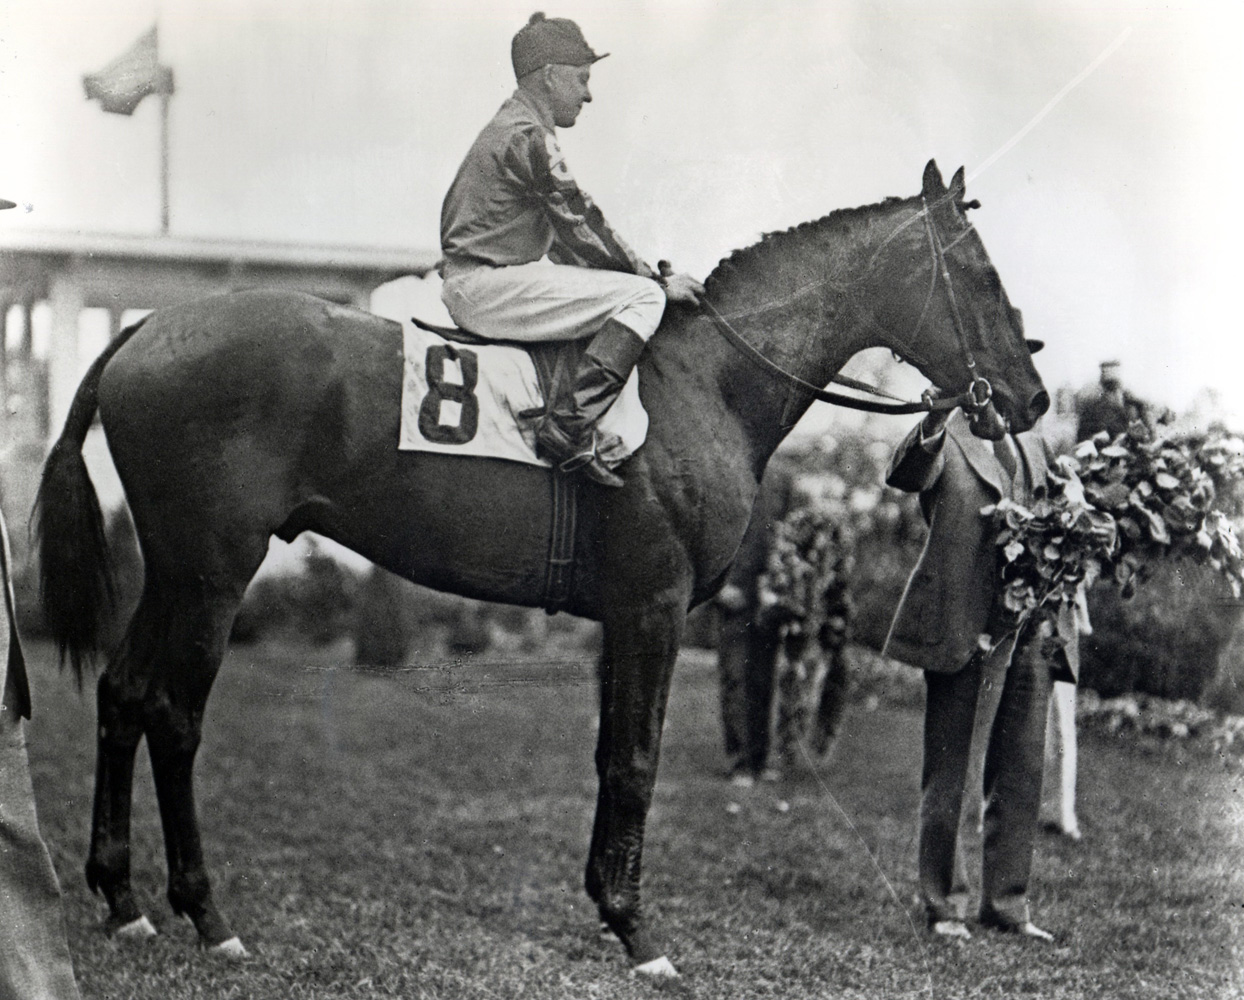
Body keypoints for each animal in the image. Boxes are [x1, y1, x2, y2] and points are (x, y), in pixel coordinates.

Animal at [36, 161, 1039, 975]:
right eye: (984, 274)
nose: (1032, 397)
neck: (702, 383)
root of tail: (144, 330)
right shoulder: (655, 606)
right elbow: (636, 759)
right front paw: (638, 932)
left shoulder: (622, 615)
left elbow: (609, 754)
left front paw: (606, 907)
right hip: (212, 574)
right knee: (174, 716)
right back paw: (207, 915)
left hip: (171, 572)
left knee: (124, 695)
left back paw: (123, 898)